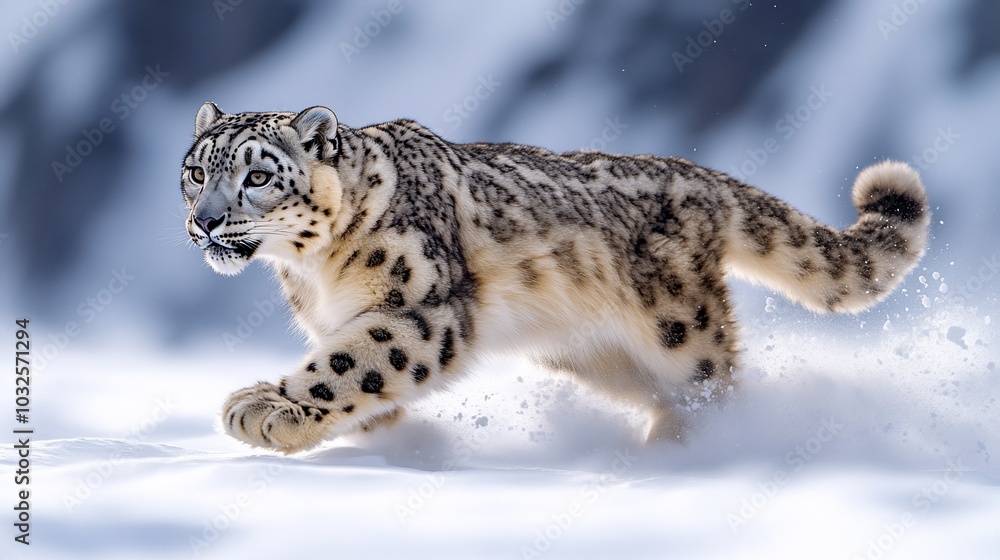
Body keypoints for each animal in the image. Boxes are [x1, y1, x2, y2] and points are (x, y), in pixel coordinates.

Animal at [180, 102, 929, 453]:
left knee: (713, 384)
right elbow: (358, 375)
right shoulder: (333, 318)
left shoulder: (422, 308)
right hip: (598, 352)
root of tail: (699, 174)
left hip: (679, 329)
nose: (206, 221)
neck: (312, 270)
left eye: (257, 176)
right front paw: (388, 438)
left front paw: (267, 409)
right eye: (194, 171)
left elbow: (352, 364)